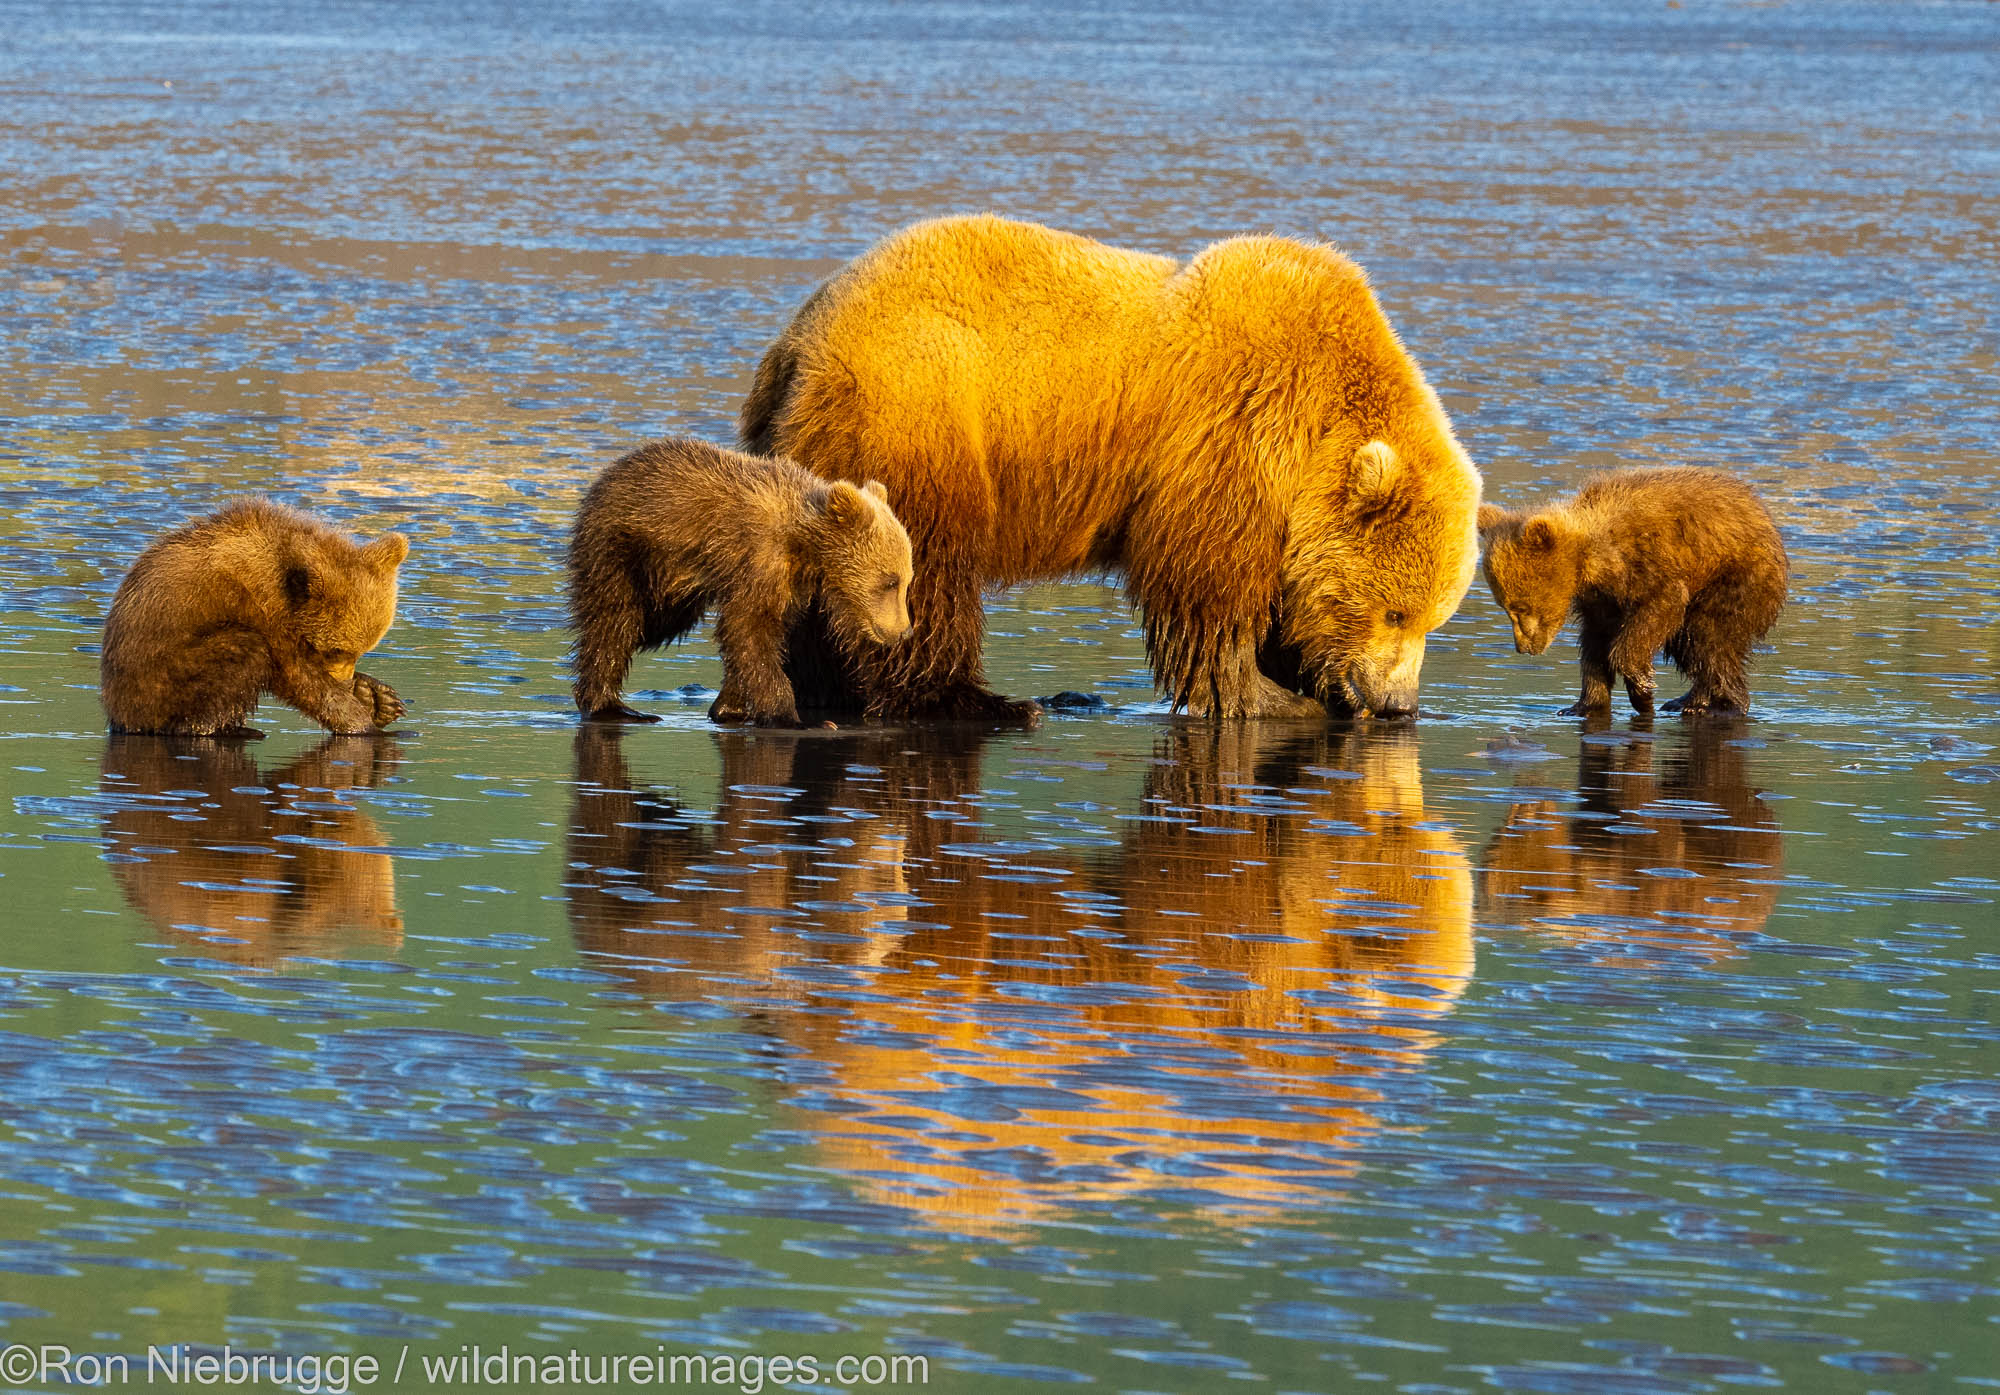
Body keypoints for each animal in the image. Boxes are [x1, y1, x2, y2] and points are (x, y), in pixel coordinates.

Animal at [744, 215, 1480, 723]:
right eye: (1394, 612)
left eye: (1433, 620)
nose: (1398, 702)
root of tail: (798, 340)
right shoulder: (1233, 431)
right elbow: (1204, 582)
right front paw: (1268, 694)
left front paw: (1306, 680)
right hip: (921, 410)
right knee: (922, 561)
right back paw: (977, 701)